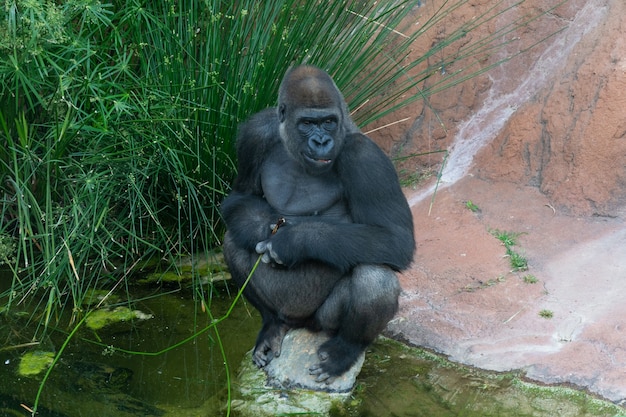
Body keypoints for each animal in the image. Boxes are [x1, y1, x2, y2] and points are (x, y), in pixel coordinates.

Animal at [219, 64, 414, 380]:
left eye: (329, 122)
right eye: (308, 122)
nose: (321, 141)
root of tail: (297, 323)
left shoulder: (365, 156)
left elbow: (394, 238)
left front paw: (291, 241)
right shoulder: (256, 132)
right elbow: (241, 197)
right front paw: (264, 227)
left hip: (319, 322)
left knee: (374, 275)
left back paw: (344, 350)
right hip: (286, 315)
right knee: (233, 240)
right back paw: (271, 325)